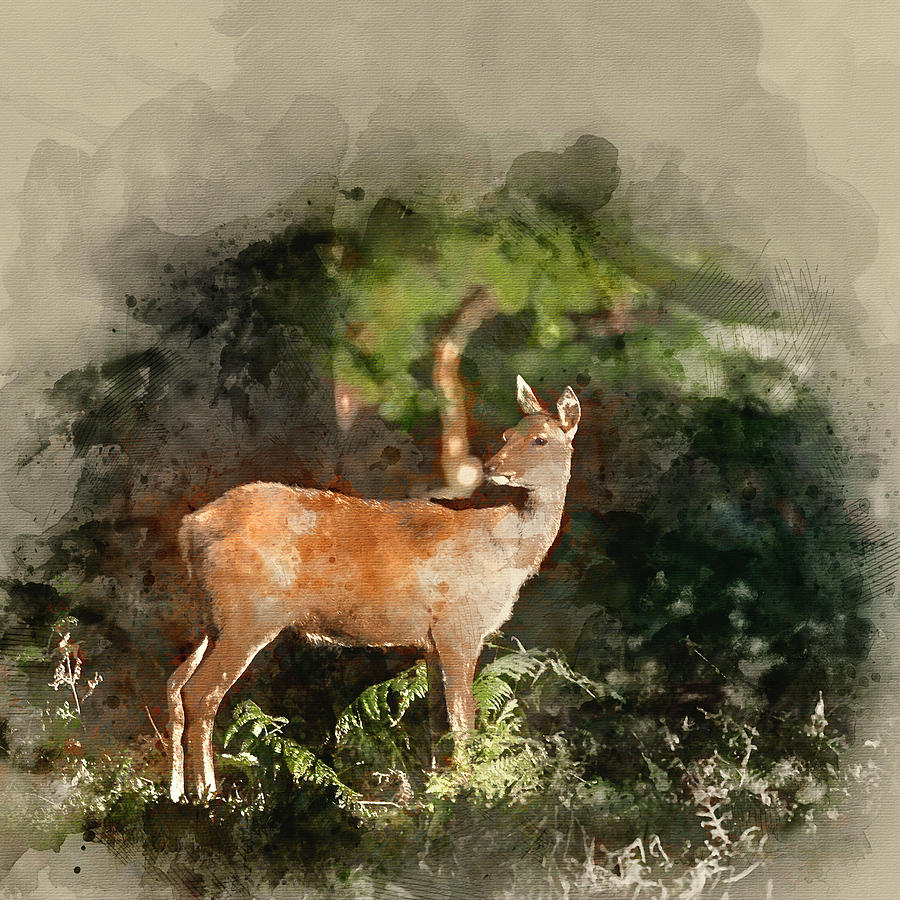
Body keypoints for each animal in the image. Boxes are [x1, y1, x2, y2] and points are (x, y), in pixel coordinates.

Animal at [166, 375, 581, 800]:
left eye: (539, 439)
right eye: (507, 434)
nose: (494, 467)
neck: (506, 554)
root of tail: (190, 528)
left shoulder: (433, 639)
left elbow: (438, 719)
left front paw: (438, 787)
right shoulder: (458, 626)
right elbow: (462, 717)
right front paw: (468, 789)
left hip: (208, 617)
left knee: (174, 685)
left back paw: (178, 791)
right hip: (248, 614)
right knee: (200, 691)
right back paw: (207, 792)